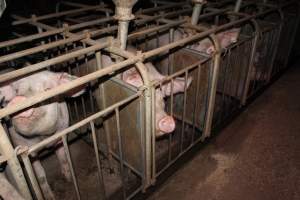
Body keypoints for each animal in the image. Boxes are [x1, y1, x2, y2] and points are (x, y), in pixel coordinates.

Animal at [0, 69, 84, 199]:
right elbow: (40, 176)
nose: (18, 99)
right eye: (16, 91)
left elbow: (64, 158)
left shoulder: (61, 133)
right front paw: (50, 197)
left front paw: (69, 179)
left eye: (48, 89)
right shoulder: (28, 150)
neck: (44, 137)